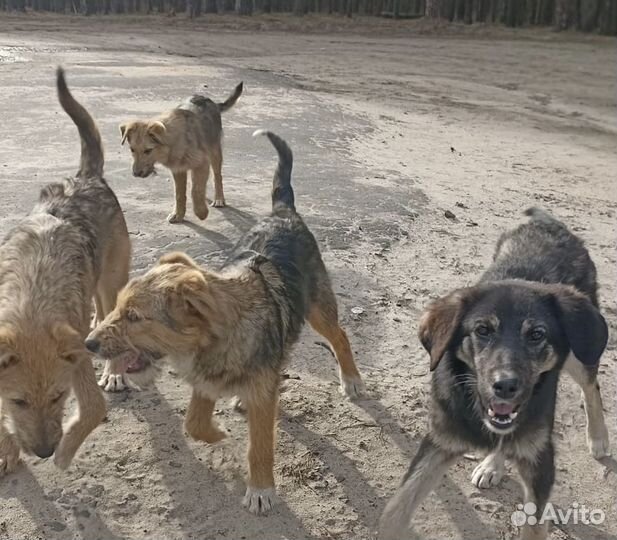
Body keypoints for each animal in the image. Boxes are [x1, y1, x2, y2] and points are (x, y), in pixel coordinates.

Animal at [0, 68, 129, 476]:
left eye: (59, 396)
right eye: (19, 401)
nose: (42, 452)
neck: (32, 296)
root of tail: (87, 177)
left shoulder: (77, 357)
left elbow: (93, 410)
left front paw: (66, 451)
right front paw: (6, 451)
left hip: (112, 282)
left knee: (111, 319)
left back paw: (115, 371)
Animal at [87, 130, 366, 516]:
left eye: (134, 317)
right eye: (117, 309)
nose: (89, 344)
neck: (212, 342)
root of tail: (283, 212)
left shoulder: (254, 395)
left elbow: (259, 444)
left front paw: (260, 489)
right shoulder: (205, 382)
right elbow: (193, 423)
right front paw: (219, 433)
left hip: (318, 306)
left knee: (339, 336)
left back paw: (350, 378)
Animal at [120, 82, 243, 221]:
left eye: (148, 150)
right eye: (132, 149)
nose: (136, 174)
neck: (174, 143)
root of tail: (210, 101)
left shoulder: (202, 163)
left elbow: (196, 191)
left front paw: (201, 212)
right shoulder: (178, 169)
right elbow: (179, 193)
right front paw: (178, 214)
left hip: (215, 151)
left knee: (217, 176)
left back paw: (219, 199)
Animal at [378, 209, 608, 536]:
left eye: (537, 334)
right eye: (482, 330)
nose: (506, 386)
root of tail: (550, 223)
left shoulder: (540, 460)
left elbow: (534, 526)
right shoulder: (440, 441)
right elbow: (395, 510)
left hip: (581, 350)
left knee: (591, 387)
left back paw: (598, 437)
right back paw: (492, 464)